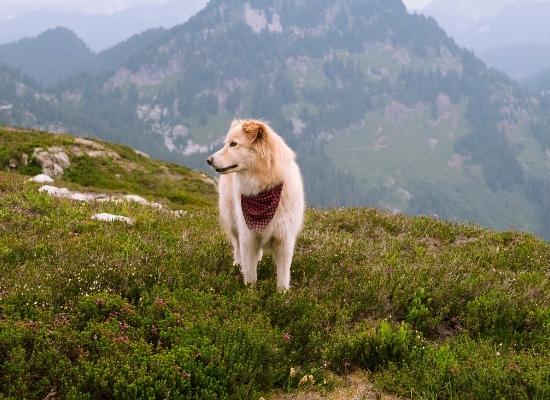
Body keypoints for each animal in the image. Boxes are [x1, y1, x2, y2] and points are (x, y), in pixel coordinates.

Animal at [209, 119, 308, 290]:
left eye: (233, 144)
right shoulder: (248, 236)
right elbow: (250, 272)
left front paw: (281, 294)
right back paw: (237, 265)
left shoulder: (284, 239)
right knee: (237, 246)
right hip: (233, 221)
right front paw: (250, 291)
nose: (208, 160)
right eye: (226, 143)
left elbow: (283, 274)